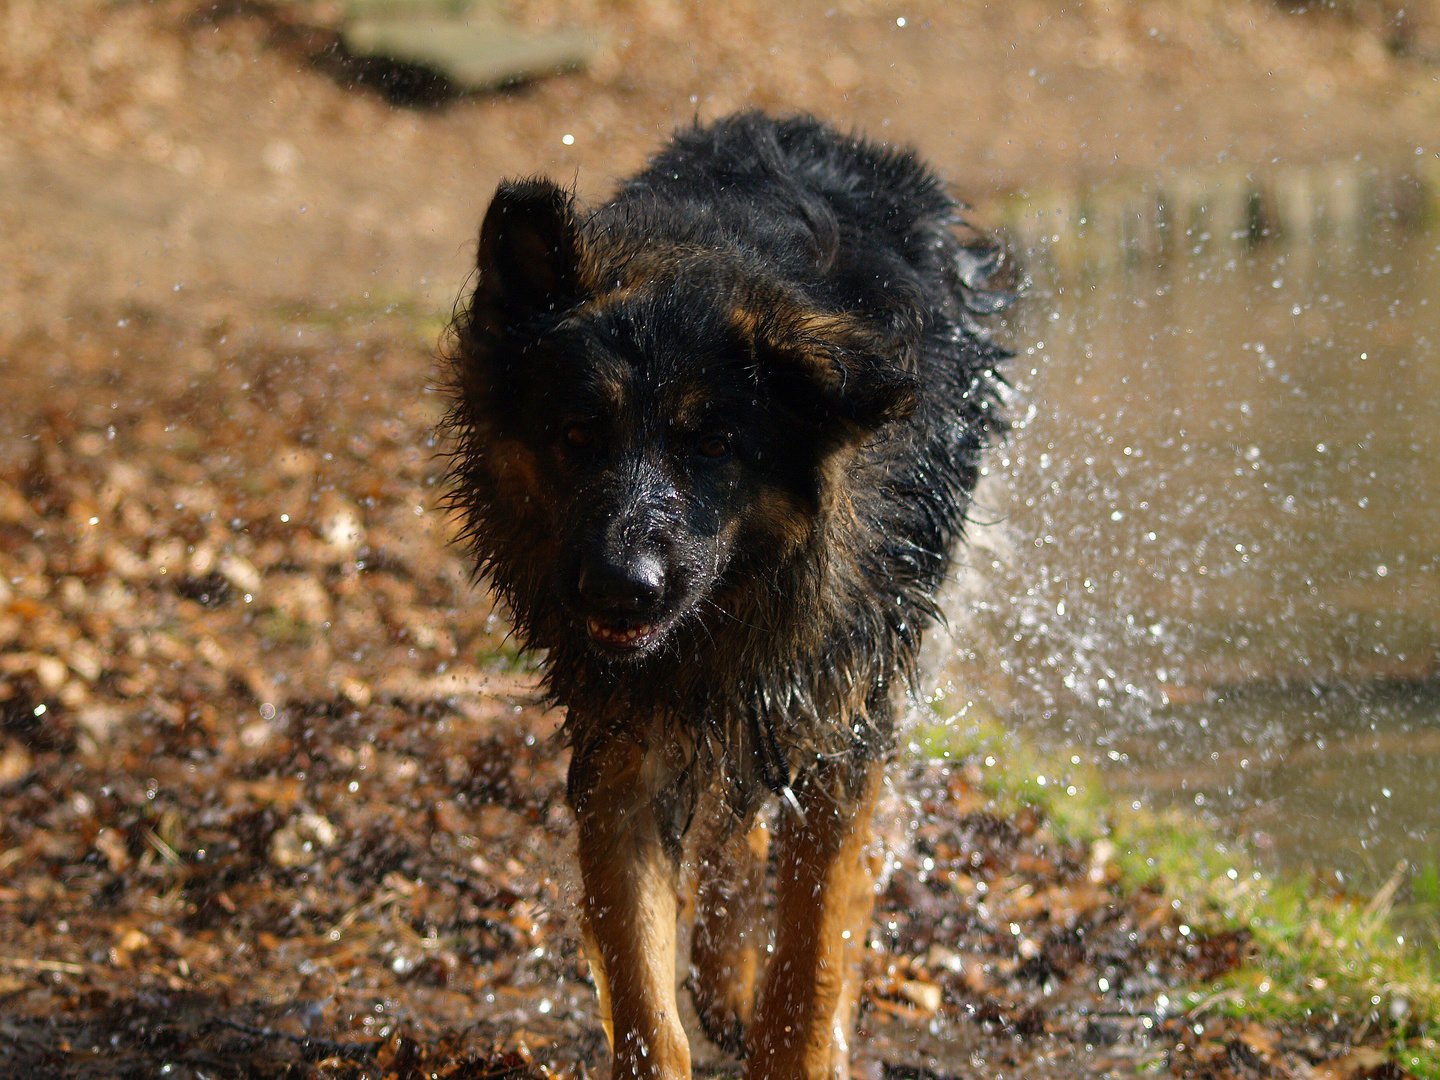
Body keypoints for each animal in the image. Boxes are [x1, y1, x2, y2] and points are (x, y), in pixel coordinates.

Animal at [443, 114, 1008, 1077]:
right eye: (577, 433)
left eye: (712, 448)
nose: (621, 588)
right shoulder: (625, 737)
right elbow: (639, 982)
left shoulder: (842, 720)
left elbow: (814, 952)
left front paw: (798, 1037)